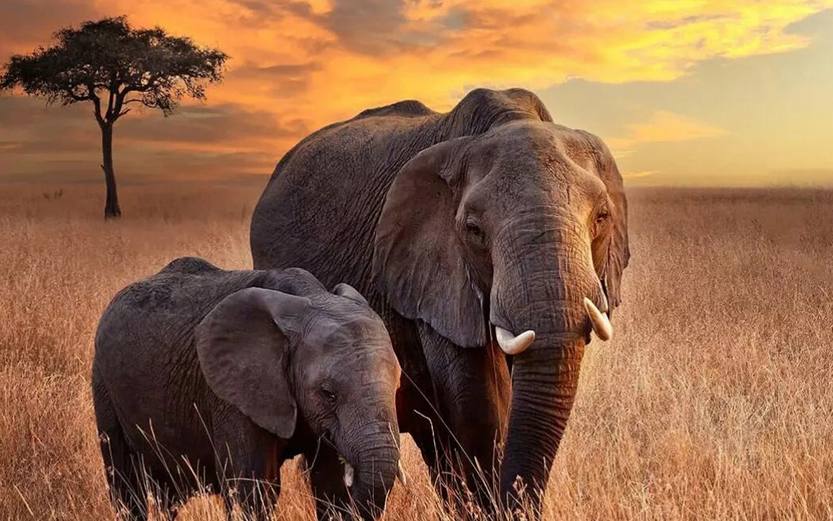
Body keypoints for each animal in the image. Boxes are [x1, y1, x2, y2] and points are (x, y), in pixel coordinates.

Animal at [92, 257, 403, 521]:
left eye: (397, 388)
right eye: (328, 393)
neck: (311, 299)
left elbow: (331, 488)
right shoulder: (232, 395)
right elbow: (251, 490)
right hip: (104, 385)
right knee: (125, 484)